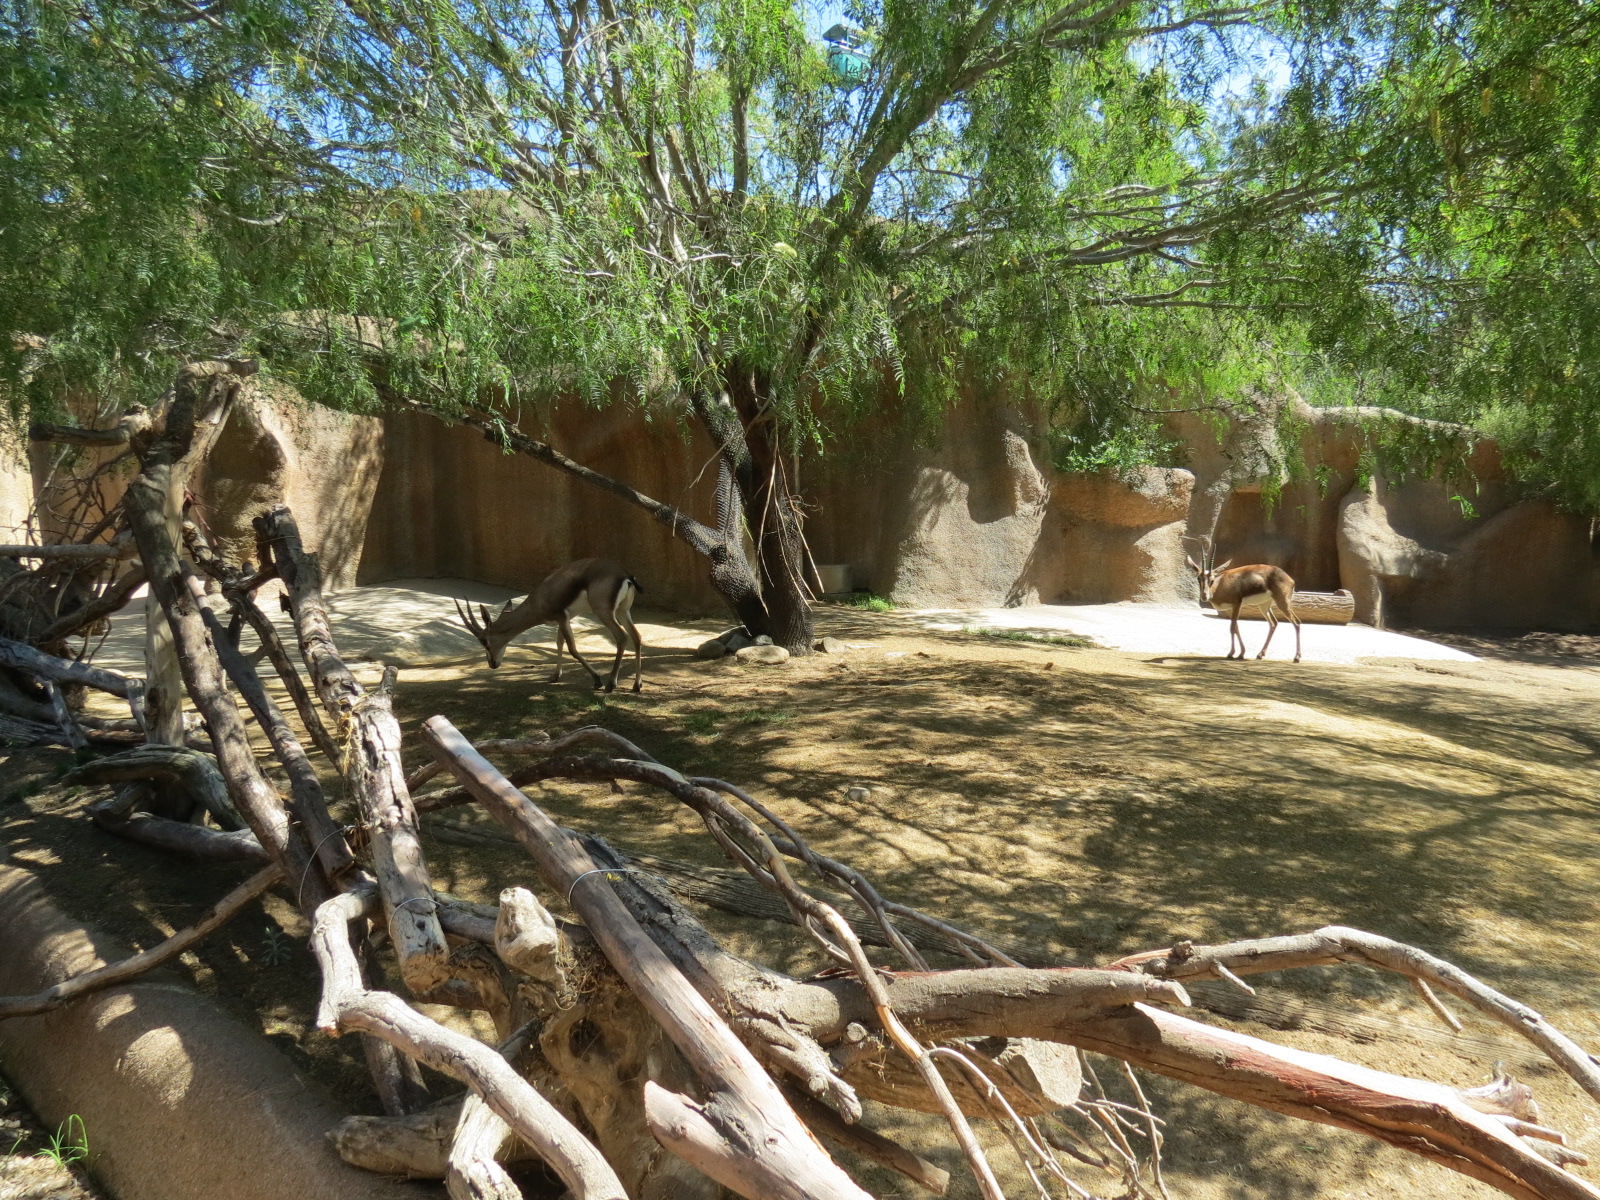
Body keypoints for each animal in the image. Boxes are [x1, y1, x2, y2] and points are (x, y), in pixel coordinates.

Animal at [455, 558, 645, 692]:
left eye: (484, 641)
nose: (492, 664)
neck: (538, 599)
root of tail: (625, 574)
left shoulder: (561, 617)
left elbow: (572, 649)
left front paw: (597, 679)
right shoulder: (564, 619)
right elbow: (559, 642)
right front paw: (555, 676)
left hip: (604, 613)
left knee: (622, 637)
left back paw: (610, 684)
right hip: (622, 611)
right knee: (636, 636)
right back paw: (636, 685)